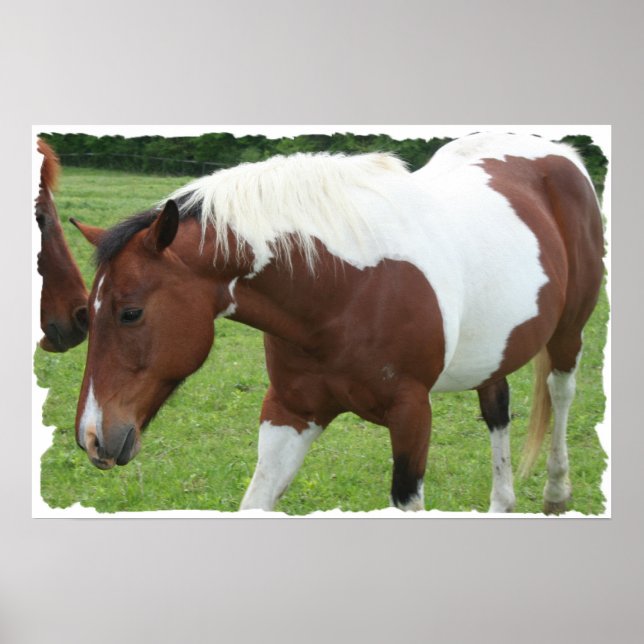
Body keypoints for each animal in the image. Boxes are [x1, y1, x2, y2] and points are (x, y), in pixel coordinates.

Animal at [71, 132, 605, 514]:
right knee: (497, 408)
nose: (93, 438)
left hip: (568, 333)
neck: (342, 288)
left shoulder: (412, 416)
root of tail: (560, 154)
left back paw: (557, 493)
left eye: (130, 312)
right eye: (86, 314)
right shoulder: (289, 412)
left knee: (561, 393)